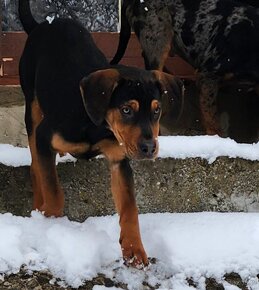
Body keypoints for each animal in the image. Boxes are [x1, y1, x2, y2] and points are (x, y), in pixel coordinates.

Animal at [18, 0, 184, 268]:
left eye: (157, 111)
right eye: (126, 110)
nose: (149, 148)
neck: (97, 125)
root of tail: (44, 24)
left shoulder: (119, 160)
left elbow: (130, 208)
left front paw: (134, 250)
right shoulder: (45, 136)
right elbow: (53, 190)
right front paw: (50, 221)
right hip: (31, 107)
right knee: (35, 164)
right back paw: (38, 209)